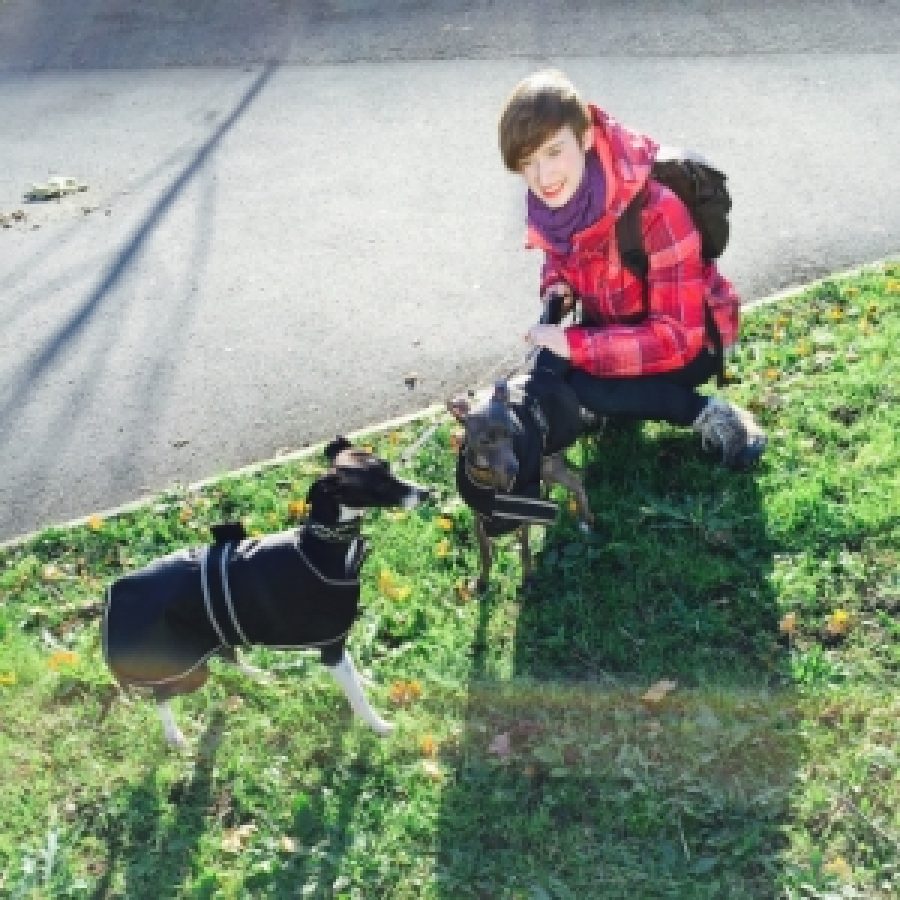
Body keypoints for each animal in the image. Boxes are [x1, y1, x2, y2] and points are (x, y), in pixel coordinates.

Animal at [103, 440, 428, 748]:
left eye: (388, 468)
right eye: (378, 483)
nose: (427, 493)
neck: (321, 547)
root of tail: (114, 594)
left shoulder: (335, 644)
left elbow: (354, 674)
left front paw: (368, 684)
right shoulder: (331, 649)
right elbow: (357, 695)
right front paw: (379, 726)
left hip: (211, 640)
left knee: (227, 657)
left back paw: (261, 676)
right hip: (186, 669)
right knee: (161, 694)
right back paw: (175, 737)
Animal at [448, 362, 600, 596]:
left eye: (513, 433)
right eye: (485, 441)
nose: (515, 468)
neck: (492, 482)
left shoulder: (522, 514)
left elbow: (525, 549)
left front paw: (528, 578)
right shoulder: (478, 517)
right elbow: (485, 553)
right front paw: (482, 581)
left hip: (549, 464)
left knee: (576, 482)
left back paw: (586, 519)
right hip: (546, 464)